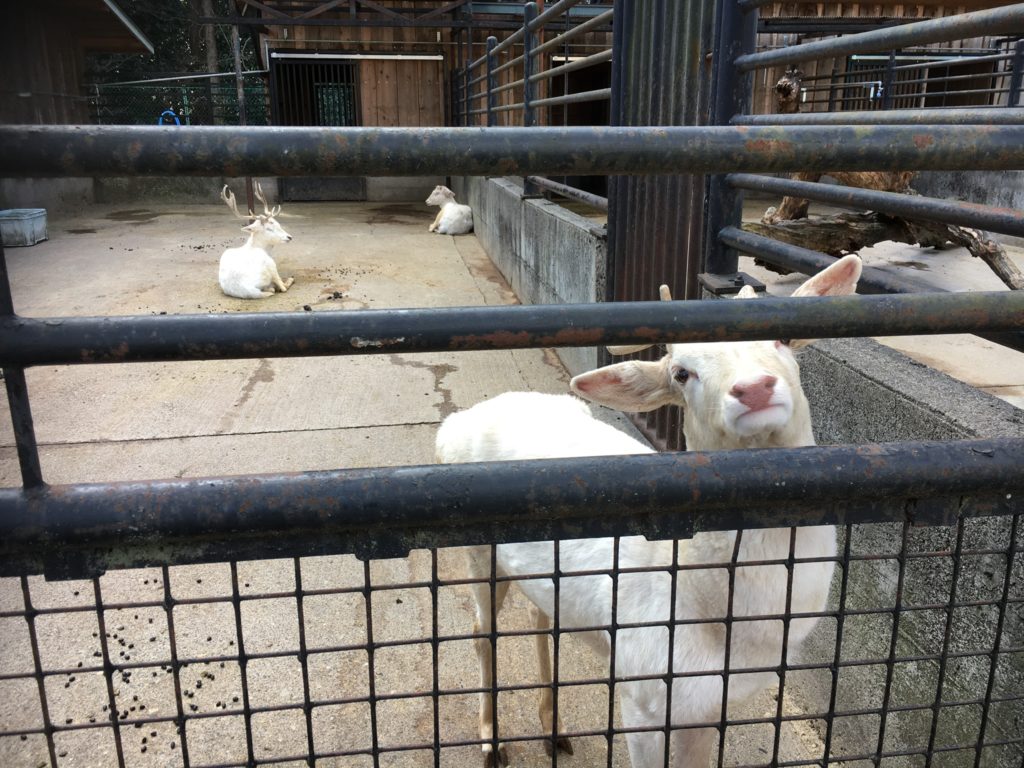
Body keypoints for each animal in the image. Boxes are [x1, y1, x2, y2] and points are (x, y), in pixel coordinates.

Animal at [434, 257, 864, 768]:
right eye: (681, 372)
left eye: (781, 337)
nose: (754, 389)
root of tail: (454, 422)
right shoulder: (640, 693)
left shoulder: (708, 707)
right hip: (477, 549)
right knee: (483, 631)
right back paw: (491, 741)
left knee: (541, 616)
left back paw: (554, 729)